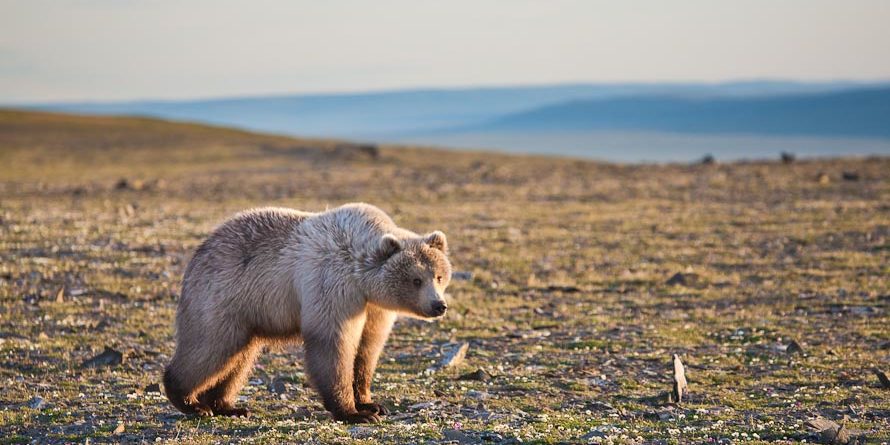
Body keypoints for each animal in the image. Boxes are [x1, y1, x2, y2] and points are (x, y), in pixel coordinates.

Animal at [163, 203, 452, 423]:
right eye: (416, 279)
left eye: (439, 276)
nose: (439, 305)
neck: (361, 280)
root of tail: (200, 251)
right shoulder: (333, 287)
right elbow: (333, 345)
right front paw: (353, 412)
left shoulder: (373, 309)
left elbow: (367, 350)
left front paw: (371, 403)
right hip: (223, 299)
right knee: (209, 348)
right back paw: (191, 401)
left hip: (248, 316)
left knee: (238, 359)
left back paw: (227, 405)